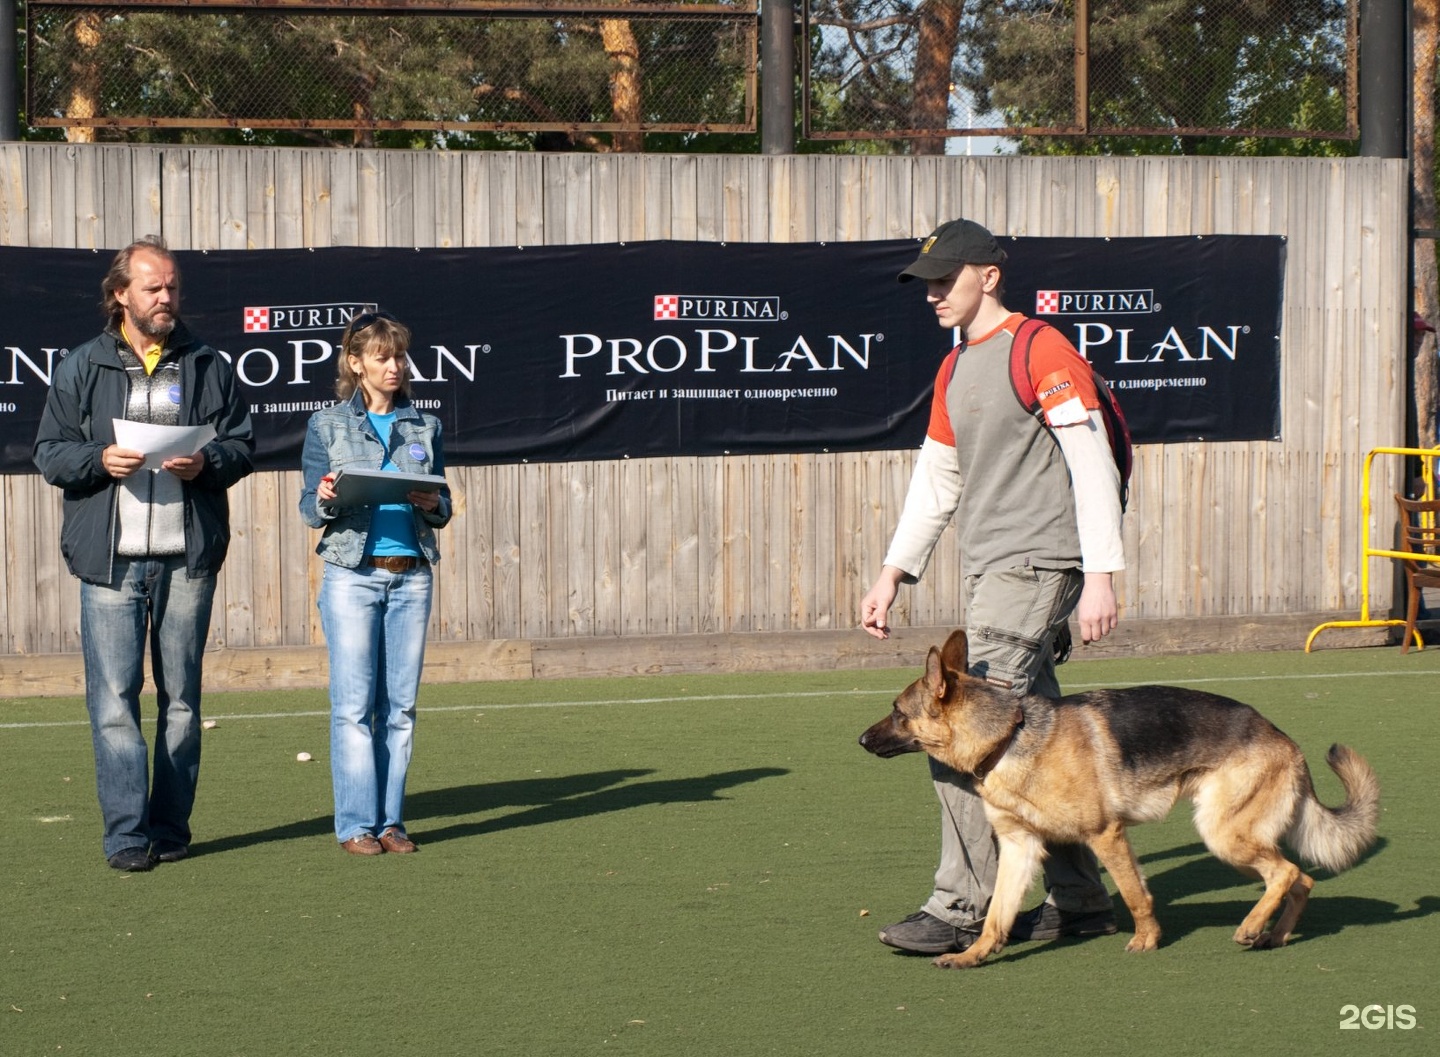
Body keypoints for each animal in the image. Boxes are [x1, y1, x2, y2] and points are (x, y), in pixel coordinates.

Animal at [858, 627, 1376, 967]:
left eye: (898, 713)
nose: (860, 740)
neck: (1007, 738)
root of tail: (1286, 740)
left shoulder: (1106, 835)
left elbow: (1134, 894)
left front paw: (1148, 940)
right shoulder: (1019, 849)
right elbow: (997, 915)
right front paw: (977, 955)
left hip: (1222, 835)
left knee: (1285, 873)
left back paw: (1251, 927)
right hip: (1235, 840)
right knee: (1300, 879)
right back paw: (1276, 936)